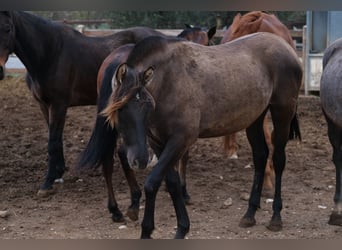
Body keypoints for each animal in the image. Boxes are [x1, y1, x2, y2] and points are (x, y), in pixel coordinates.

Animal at [78, 25, 215, 222]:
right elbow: (184, 156)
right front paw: (183, 191)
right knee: (121, 153)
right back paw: (132, 200)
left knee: (109, 159)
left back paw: (117, 208)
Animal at [101, 33, 302, 238]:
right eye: (121, 109)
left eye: (148, 105)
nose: (139, 160)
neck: (168, 82)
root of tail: (286, 46)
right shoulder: (157, 142)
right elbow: (172, 183)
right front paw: (182, 228)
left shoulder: (181, 140)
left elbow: (152, 183)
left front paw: (147, 231)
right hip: (254, 118)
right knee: (260, 157)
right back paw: (250, 214)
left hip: (282, 112)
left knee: (278, 160)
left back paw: (276, 217)